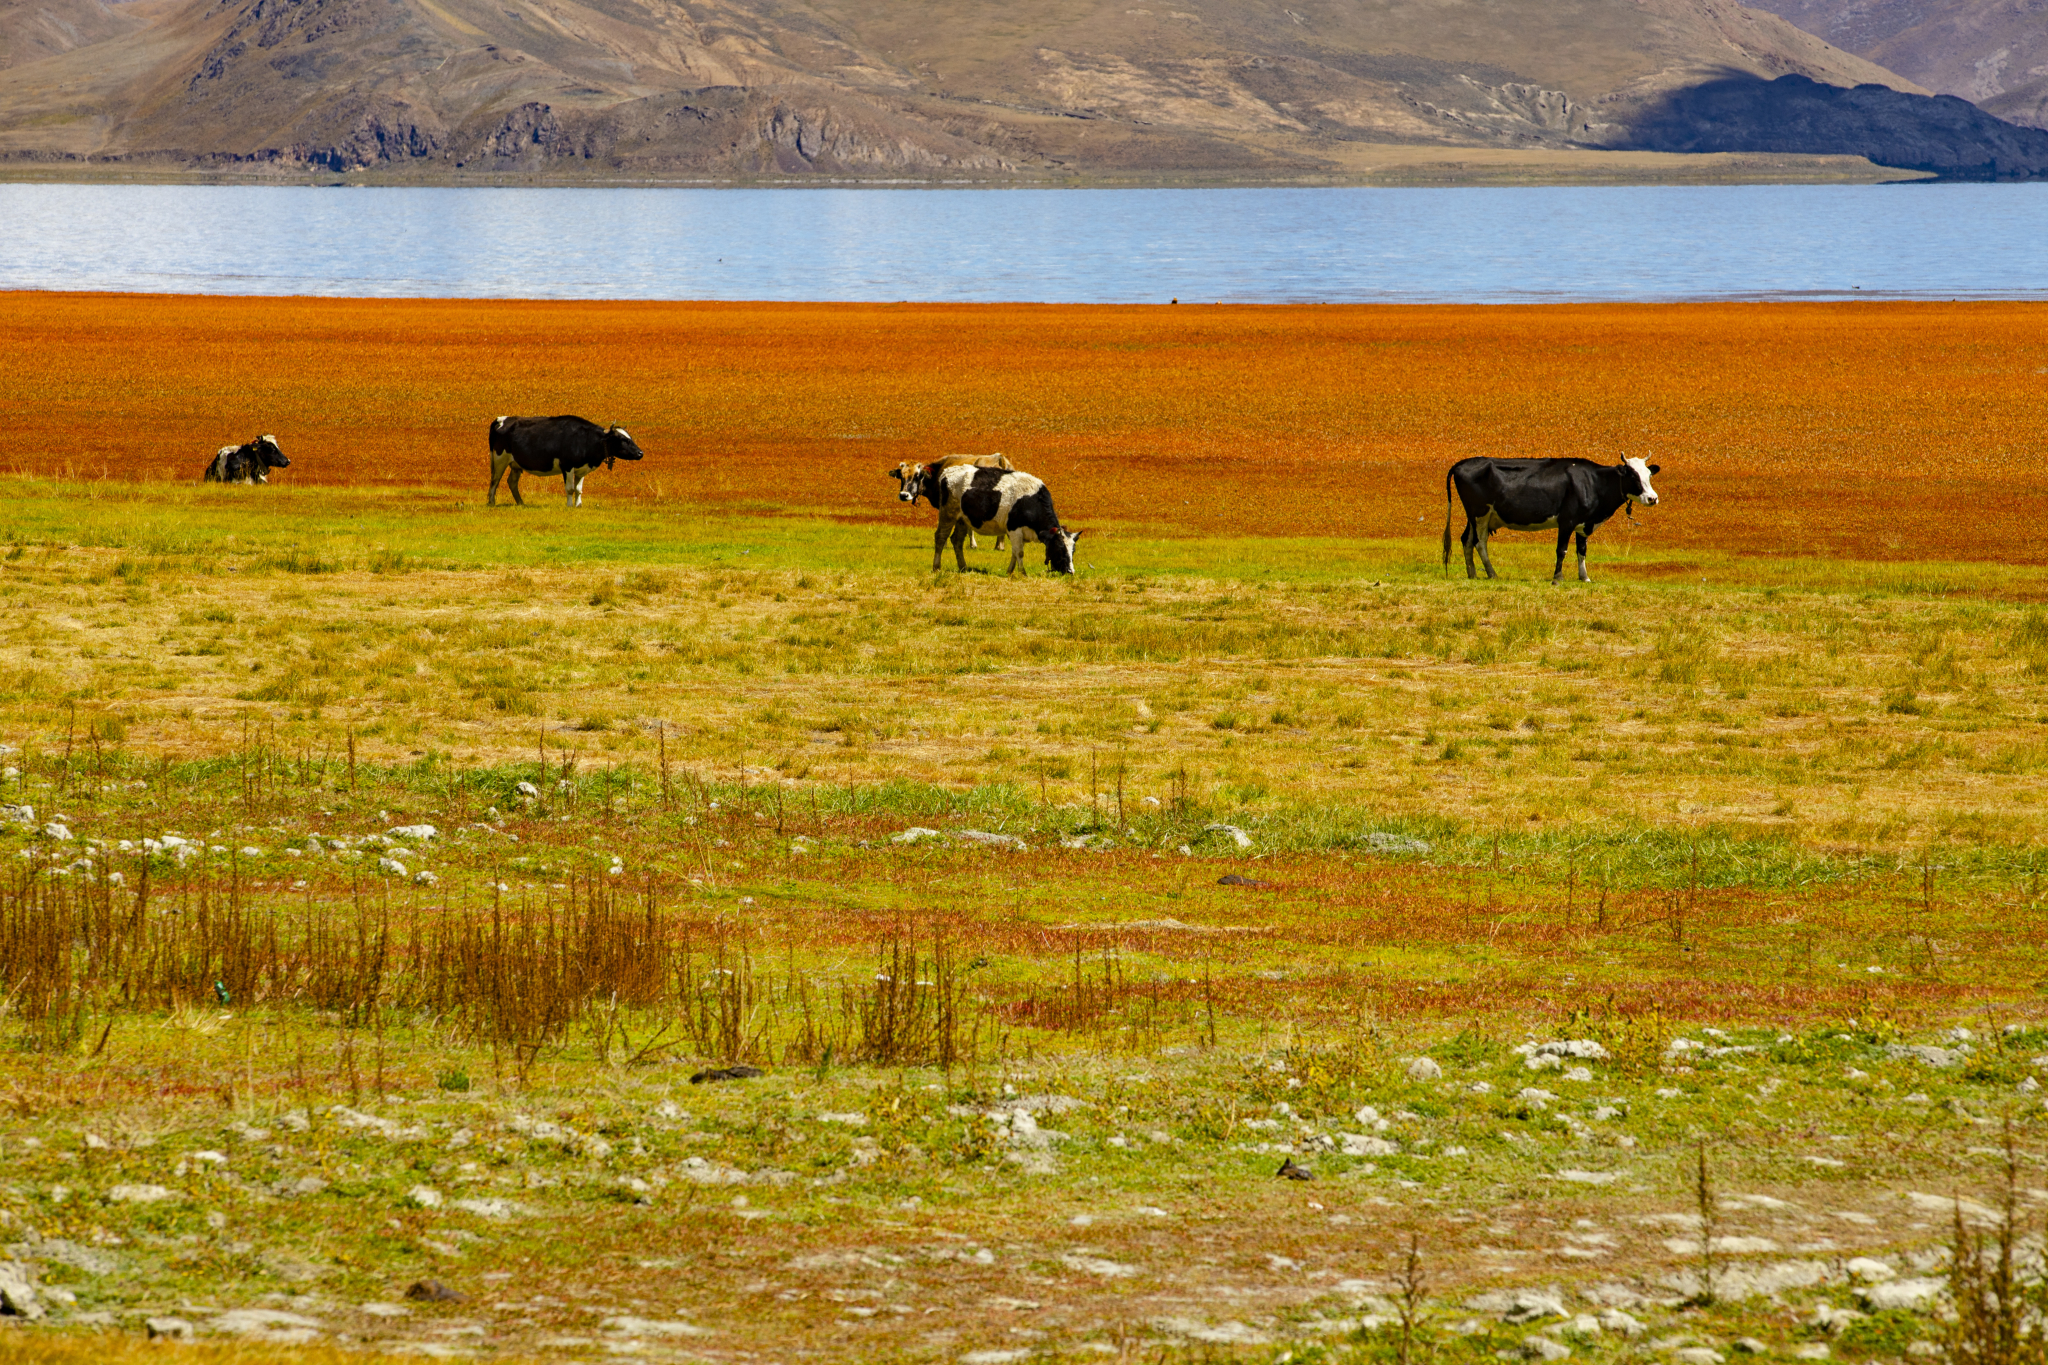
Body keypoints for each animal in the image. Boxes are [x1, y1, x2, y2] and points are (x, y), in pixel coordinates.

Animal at [485, 413, 638, 509]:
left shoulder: (581, 469)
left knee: (511, 482)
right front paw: (569, 506)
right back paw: (491, 502)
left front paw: (579, 505)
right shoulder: (567, 466)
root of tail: (501, 419)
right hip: (499, 459)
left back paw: (521, 503)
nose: (640, 453)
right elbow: (570, 489)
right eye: (622, 439)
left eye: (630, 438)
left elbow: (579, 489)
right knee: (495, 480)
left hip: (515, 464)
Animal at [929, 466, 1089, 573]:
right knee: (941, 537)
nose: (1070, 572)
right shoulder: (1014, 528)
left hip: (962, 520)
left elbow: (1014, 552)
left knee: (957, 540)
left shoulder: (1017, 533)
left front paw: (1010, 572)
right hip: (948, 514)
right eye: (1060, 548)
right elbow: (1019, 552)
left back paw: (963, 567)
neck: (1030, 501)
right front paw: (1022, 573)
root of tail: (948, 471)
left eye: (1073, 551)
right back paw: (937, 567)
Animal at [1441, 456, 1662, 585]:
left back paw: (1472, 574)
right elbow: (1561, 550)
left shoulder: (1583, 524)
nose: (1653, 498)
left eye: (1649, 475)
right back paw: (1492, 574)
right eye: (1633, 475)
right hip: (1481, 513)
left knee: (1467, 540)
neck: (1594, 482)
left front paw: (1584, 577)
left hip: (1476, 516)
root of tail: (1461, 463)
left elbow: (1581, 551)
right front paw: (1557, 578)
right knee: (1480, 543)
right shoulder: (1567, 521)